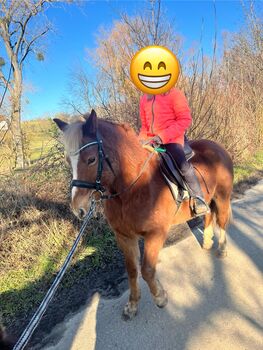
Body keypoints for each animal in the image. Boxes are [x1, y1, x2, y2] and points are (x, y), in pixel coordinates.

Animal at [53, 109, 233, 320]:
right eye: (68, 161)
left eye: (91, 159)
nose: (77, 208)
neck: (133, 187)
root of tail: (217, 147)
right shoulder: (124, 236)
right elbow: (132, 270)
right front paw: (132, 305)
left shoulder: (155, 234)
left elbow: (147, 270)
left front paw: (160, 297)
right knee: (208, 215)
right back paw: (206, 242)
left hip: (222, 196)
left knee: (222, 221)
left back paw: (222, 249)